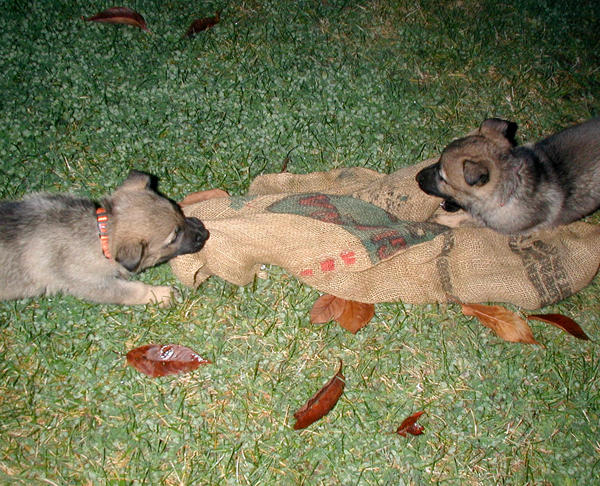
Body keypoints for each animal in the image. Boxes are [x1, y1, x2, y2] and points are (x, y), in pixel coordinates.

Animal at [0, 171, 209, 306]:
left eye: (178, 211)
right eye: (174, 237)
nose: (205, 232)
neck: (100, 233)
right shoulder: (89, 283)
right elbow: (132, 290)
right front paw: (160, 294)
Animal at [414, 116, 600, 234]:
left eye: (443, 177)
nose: (417, 177)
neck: (513, 184)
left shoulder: (505, 225)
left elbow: (472, 219)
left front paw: (443, 220)